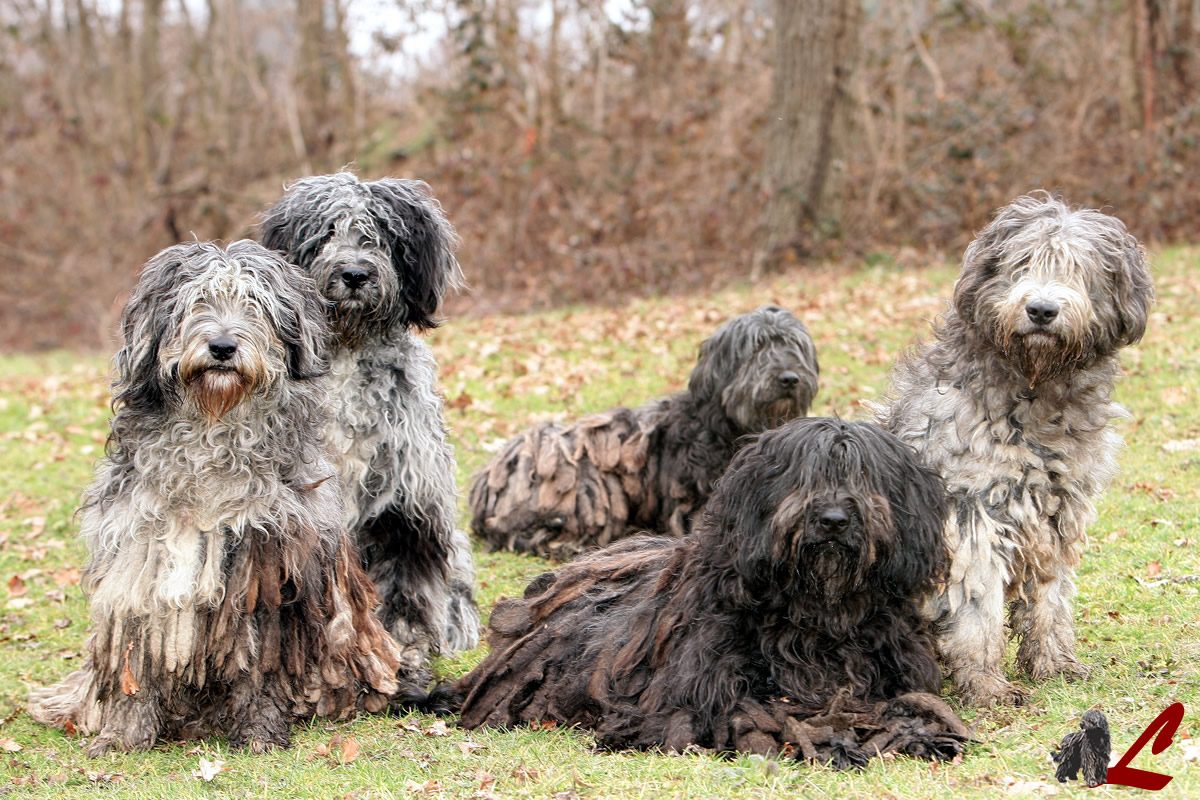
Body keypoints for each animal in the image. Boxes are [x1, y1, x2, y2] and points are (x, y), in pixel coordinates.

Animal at [261, 170, 477, 662]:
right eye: (325, 233)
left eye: (379, 234)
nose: (355, 274)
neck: (348, 349)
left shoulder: (406, 503)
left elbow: (405, 585)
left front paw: (407, 642)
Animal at [883, 194, 1152, 705]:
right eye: (1022, 263)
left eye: (1077, 269)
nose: (1042, 310)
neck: (1035, 386)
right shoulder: (972, 512)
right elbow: (976, 610)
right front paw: (986, 684)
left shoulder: (1056, 512)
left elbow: (1050, 596)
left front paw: (1054, 663)